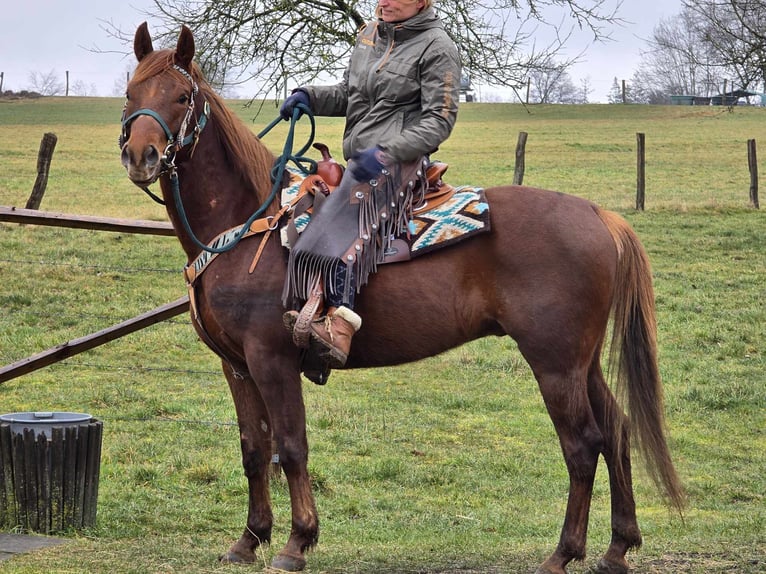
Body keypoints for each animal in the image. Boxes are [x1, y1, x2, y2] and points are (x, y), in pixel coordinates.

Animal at [123, 22, 688, 574]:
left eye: (181, 96)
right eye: (131, 92)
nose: (140, 156)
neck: (248, 223)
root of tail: (599, 215)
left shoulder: (272, 358)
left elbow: (291, 446)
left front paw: (296, 542)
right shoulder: (237, 365)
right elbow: (254, 449)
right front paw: (249, 539)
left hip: (554, 362)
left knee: (583, 445)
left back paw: (563, 553)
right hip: (580, 362)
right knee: (617, 431)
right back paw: (617, 548)